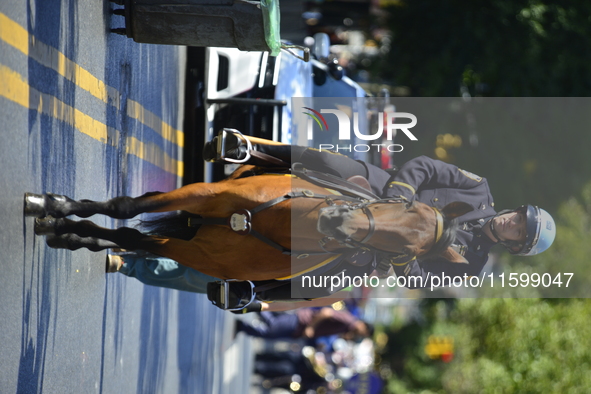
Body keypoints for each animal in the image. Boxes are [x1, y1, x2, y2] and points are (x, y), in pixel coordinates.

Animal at [24, 165, 472, 280]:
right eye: (402, 201)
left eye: (404, 254)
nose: (334, 224)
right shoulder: (202, 195)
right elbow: (124, 207)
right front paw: (51, 204)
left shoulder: (193, 251)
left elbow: (129, 231)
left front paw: (64, 230)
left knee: (127, 236)